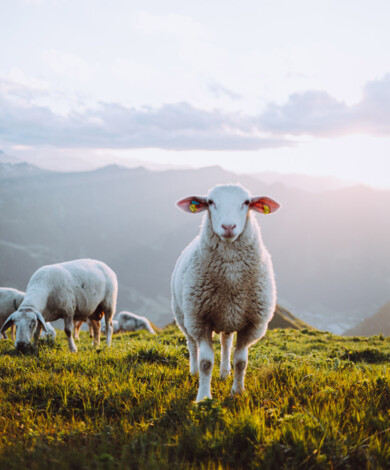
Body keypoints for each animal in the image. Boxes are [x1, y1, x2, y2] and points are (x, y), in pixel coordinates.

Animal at [171, 184, 280, 400]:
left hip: (229, 317)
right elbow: (206, 362)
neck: (231, 279)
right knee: (191, 345)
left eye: (246, 202)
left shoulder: (252, 324)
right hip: (183, 315)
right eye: (211, 202)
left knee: (225, 343)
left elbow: (241, 361)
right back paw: (193, 371)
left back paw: (224, 372)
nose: (228, 227)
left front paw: (237, 392)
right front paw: (203, 397)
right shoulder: (200, 320)